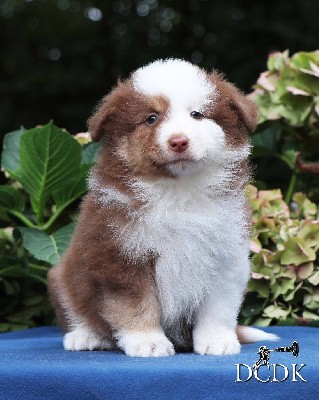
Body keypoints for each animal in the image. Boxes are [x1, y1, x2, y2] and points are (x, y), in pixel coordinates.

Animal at [47, 59, 278, 356]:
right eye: (151, 118)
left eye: (197, 115)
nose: (178, 141)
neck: (178, 192)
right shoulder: (121, 256)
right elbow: (136, 306)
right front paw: (148, 341)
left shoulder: (225, 255)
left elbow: (218, 306)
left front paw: (216, 340)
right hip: (63, 276)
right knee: (78, 311)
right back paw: (85, 336)